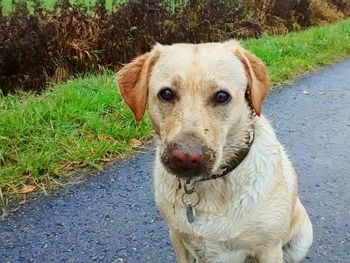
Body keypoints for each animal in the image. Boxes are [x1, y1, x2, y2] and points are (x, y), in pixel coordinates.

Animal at [116, 40, 314, 262]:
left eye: (221, 96)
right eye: (166, 94)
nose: (186, 157)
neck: (210, 187)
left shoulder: (269, 249)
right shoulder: (177, 238)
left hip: (301, 240)